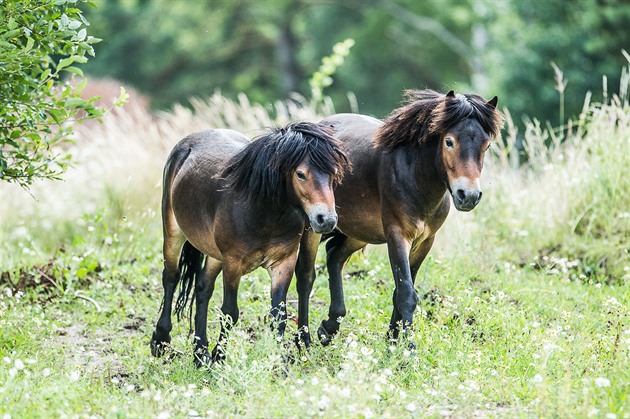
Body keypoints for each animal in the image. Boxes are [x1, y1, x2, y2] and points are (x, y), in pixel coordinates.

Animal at [151, 121, 354, 364]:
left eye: (334, 176)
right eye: (301, 174)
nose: (327, 219)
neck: (264, 212)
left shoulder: (283, 263)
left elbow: (279, 315)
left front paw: (278, 363)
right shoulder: (233, 263)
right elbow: (230, 312)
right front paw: (220, 357)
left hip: (215, 253)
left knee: (202, 287)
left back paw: (200, 353)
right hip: (173, 231)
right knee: (171, 277)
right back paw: (161, 340)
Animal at [294, 89, 506, 348]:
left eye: (486, 145)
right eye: (449, 141)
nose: (469, 195)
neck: (416, 176)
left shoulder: (424, 241)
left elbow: (401, 290)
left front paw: (393, 342)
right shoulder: (398, 235)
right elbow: (406, 294)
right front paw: (408, 350)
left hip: (360, 230)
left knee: (334, 256)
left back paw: (329, 327)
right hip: (316, 226)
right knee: (306, 275)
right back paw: (303, 340)